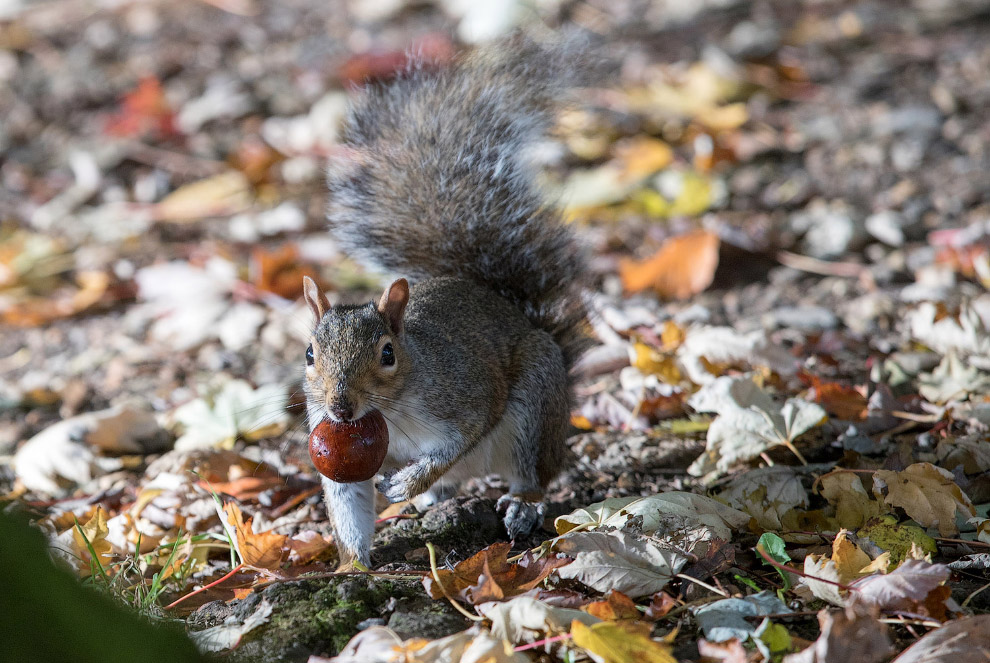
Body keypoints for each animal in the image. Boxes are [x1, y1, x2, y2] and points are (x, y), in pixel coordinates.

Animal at [298, 33, 592, 568]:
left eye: (387, 354)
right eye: (310, 354)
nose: (340, 408)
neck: (389, 412)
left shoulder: (464, 396)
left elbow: (454, 443)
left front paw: (411, 480)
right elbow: (348, 505)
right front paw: (351, 566)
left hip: (535, 407)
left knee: (532, 475)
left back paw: (519, 506)